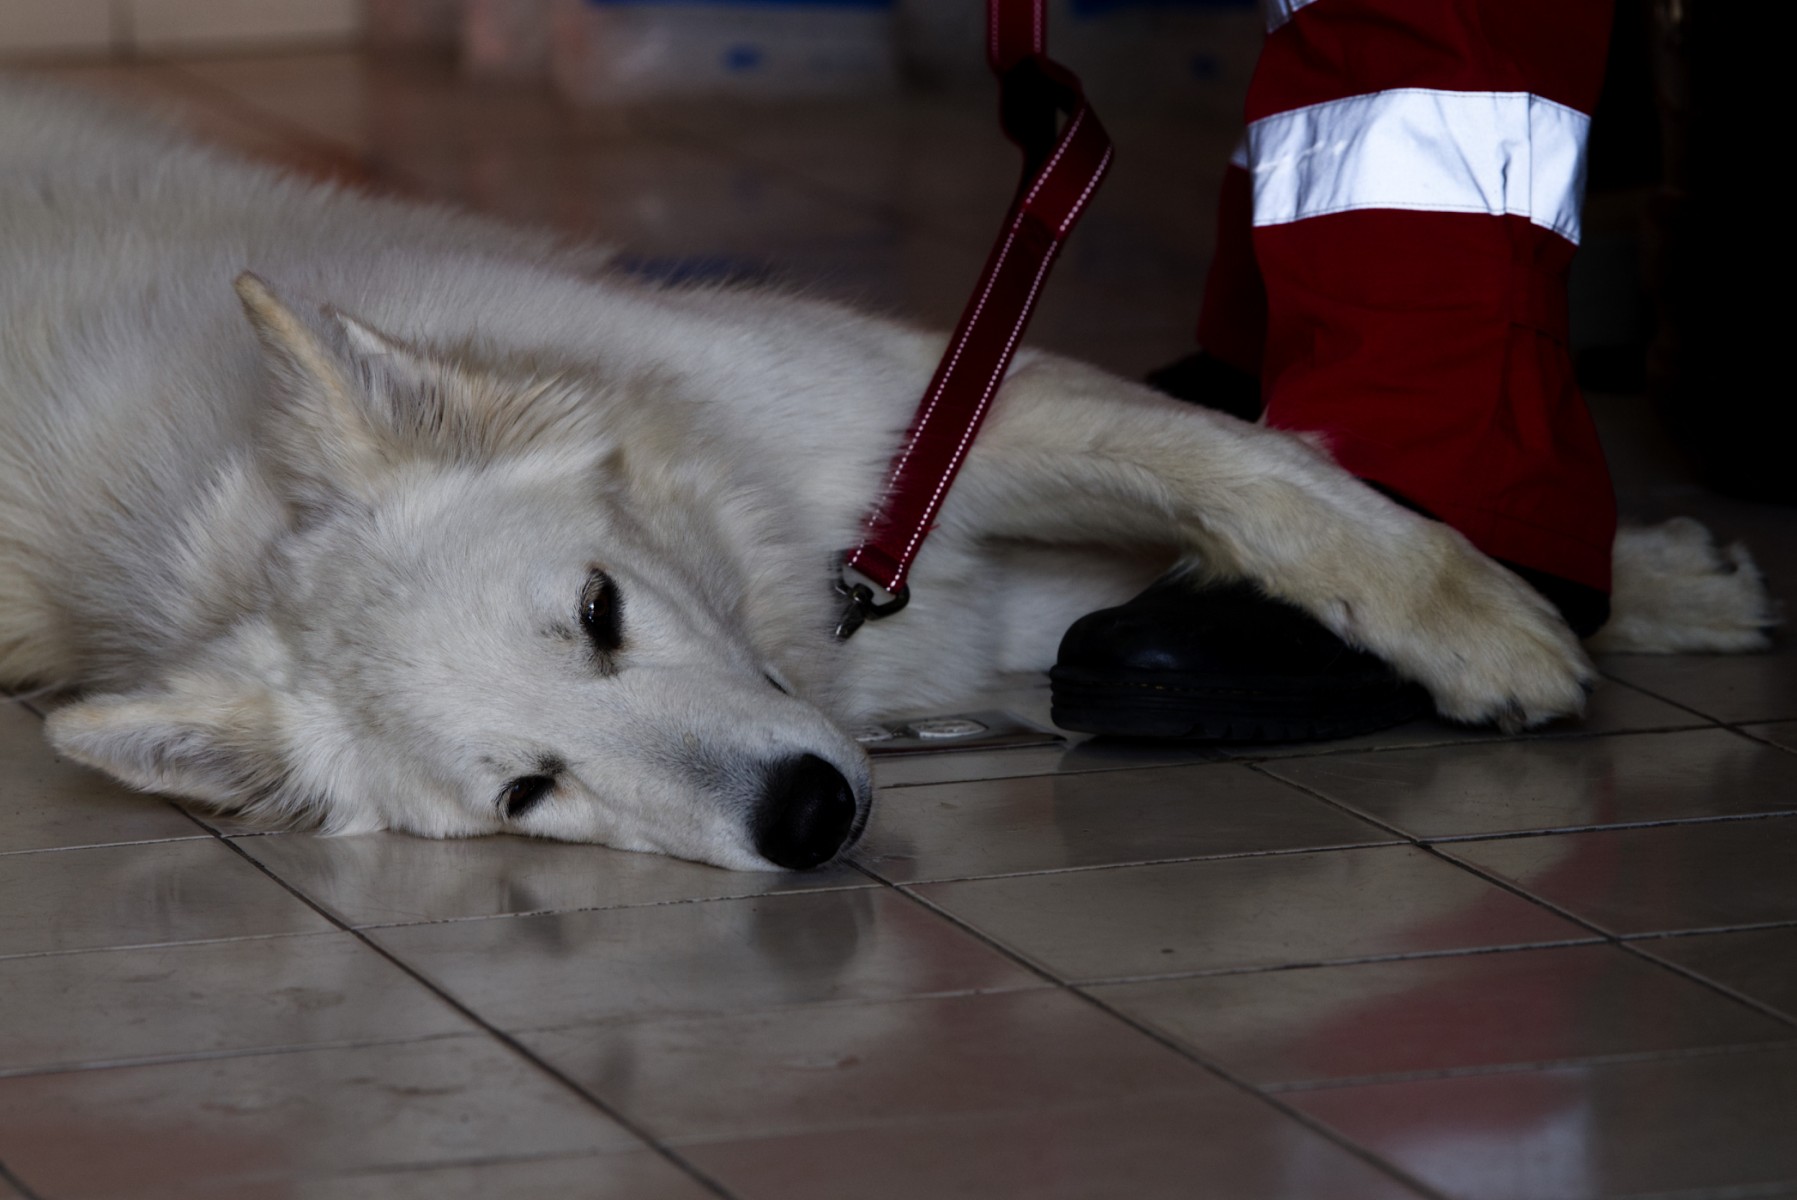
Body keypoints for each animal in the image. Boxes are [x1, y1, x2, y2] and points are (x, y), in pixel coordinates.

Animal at [0, 82, 1768, 873]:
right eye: (528, 794)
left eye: (599, 610)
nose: (805, 817)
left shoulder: (936, 420)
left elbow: (1269, 479)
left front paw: (1526, 611)